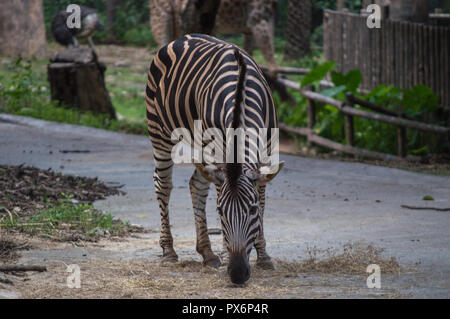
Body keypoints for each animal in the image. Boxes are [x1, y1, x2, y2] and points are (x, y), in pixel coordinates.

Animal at [146, 35, 284, 284]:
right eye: (220, 212)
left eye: (252, 210)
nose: (237, 273)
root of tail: (182, 37)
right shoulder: (221, 156)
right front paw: (227, 254)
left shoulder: (265, 153)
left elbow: (261, 197)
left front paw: (264, 255)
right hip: (159, 131)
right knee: (163, 185)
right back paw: (169, 251)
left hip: (203, 148)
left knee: (196, 185)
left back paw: (207, 253)